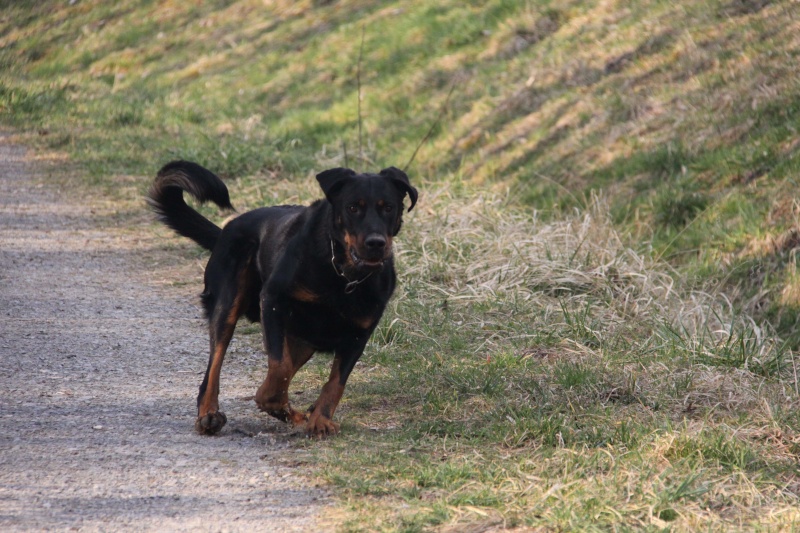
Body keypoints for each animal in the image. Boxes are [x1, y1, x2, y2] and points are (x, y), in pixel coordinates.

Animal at [148, 162, 418, 436]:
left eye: (389, 207)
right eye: (353, 207)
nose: (376, 243)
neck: (343, 273)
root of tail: (225, 230)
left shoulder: (358, 334)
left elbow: (335, 383)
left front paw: (319, 418)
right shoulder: (274, 301)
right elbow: (279, 369)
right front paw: (275, 402)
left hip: (305, 338)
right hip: (228, 303)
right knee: (215, 365)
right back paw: (209, 414)